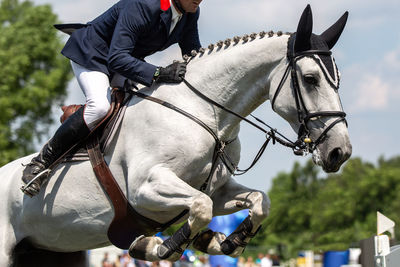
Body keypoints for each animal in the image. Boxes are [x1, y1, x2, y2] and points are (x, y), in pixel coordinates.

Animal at [0, 5, 350, 266]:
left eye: (338, 79)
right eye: (310, 79)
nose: (340, 152)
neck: (204, 112)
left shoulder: (218, 189)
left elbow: (259, 201)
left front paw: (223, 242)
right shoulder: (146, 188)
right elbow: (201, 206)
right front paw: (157, 247)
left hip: (55, 250)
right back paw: (34, 172)